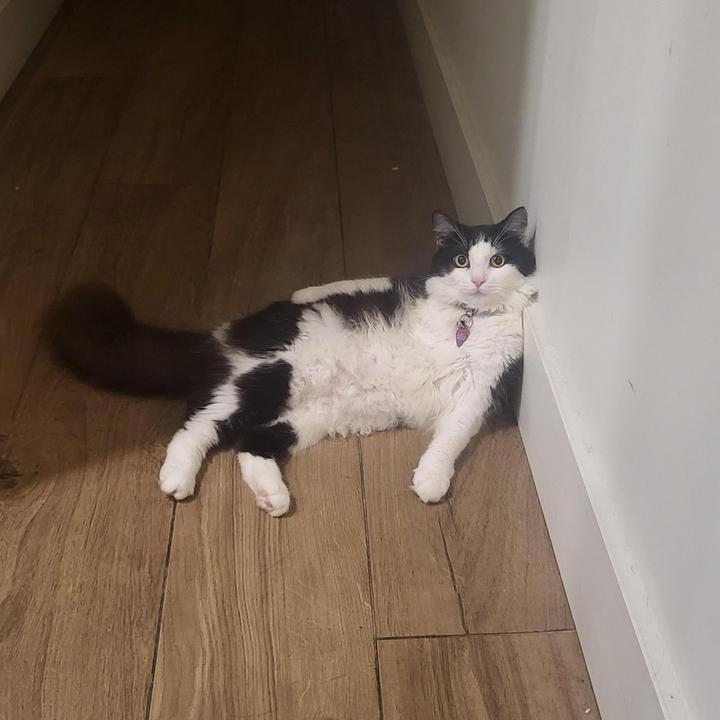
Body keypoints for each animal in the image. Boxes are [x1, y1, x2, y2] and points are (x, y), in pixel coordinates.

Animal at [50, 207, 536, 517]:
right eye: (460, 260)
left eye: (497, 260)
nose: (478, 280)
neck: (467, 322)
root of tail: (221, 337)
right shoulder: (408, 285)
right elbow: (355, 281)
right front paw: (304, 291)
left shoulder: (478, 393)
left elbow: (450, 439)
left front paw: (431, 478)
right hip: (268, 376)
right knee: (198, 427)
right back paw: (177, 479)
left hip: (314, 416)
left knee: (249, 443)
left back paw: (272, 498)